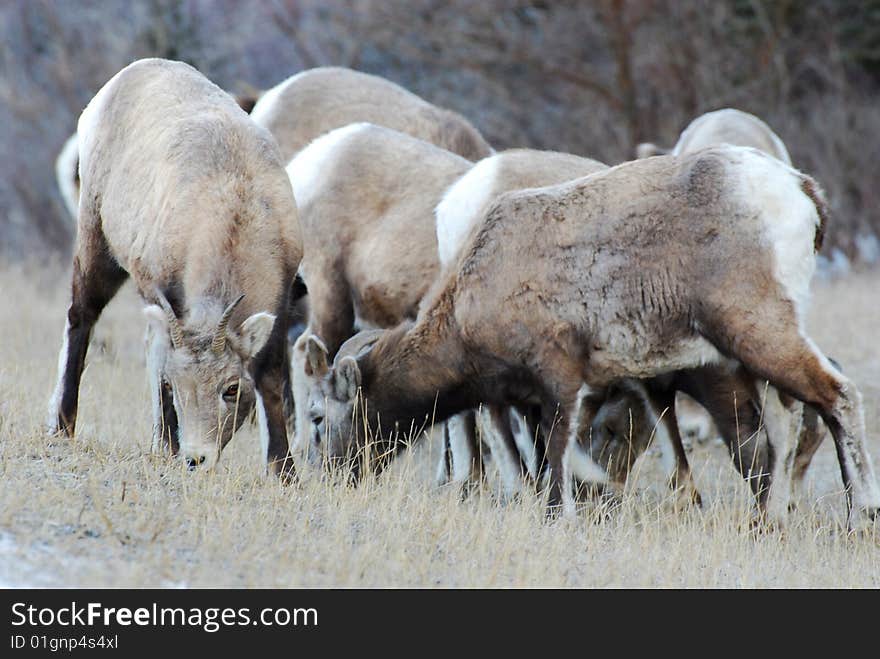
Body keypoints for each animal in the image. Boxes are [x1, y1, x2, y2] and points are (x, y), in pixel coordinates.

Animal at [306, 146, 876, 532]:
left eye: (321, 417)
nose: (331, 477)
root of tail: (800, 191)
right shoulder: (529, 397)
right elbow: (543, 453)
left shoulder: (560, 377)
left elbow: (559, 450)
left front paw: (566, 510)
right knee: (783, 423)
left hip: (758, 330)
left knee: (835, 396)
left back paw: (859, 515)